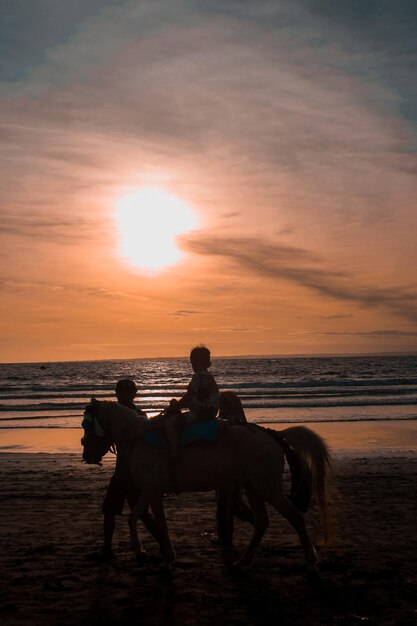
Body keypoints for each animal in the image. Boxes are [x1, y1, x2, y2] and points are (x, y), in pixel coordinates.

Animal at [81, 400, 334, 572]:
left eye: (87, 425)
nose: (87, 455)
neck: (138, 439)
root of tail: (273, 435)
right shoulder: (149, 491)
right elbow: (133, 518)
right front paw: (139, 549)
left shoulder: (154, 494)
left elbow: (160, 525)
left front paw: (167, 559)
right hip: (253, 488)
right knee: (262, 522)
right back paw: (242, 562)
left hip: (268, 489)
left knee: (295, 516)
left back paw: (311, 560)